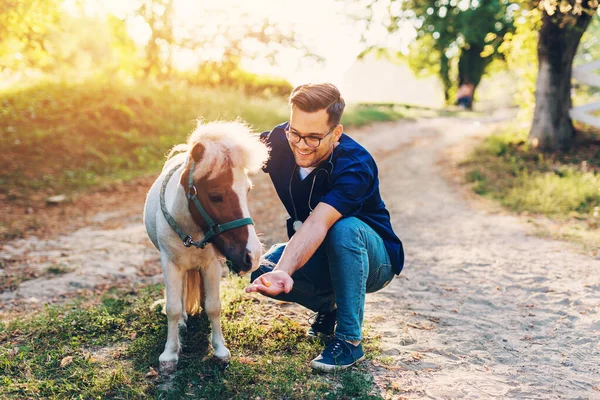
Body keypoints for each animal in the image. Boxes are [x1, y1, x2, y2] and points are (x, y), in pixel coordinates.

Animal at [142, 120, 268, 374]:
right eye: (216, 195)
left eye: (248, 191)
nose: (253, 255)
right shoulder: (170, 265)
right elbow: (172, 307)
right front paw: (170, 353)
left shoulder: (211, 266)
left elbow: (213, 306)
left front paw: (220, 350)